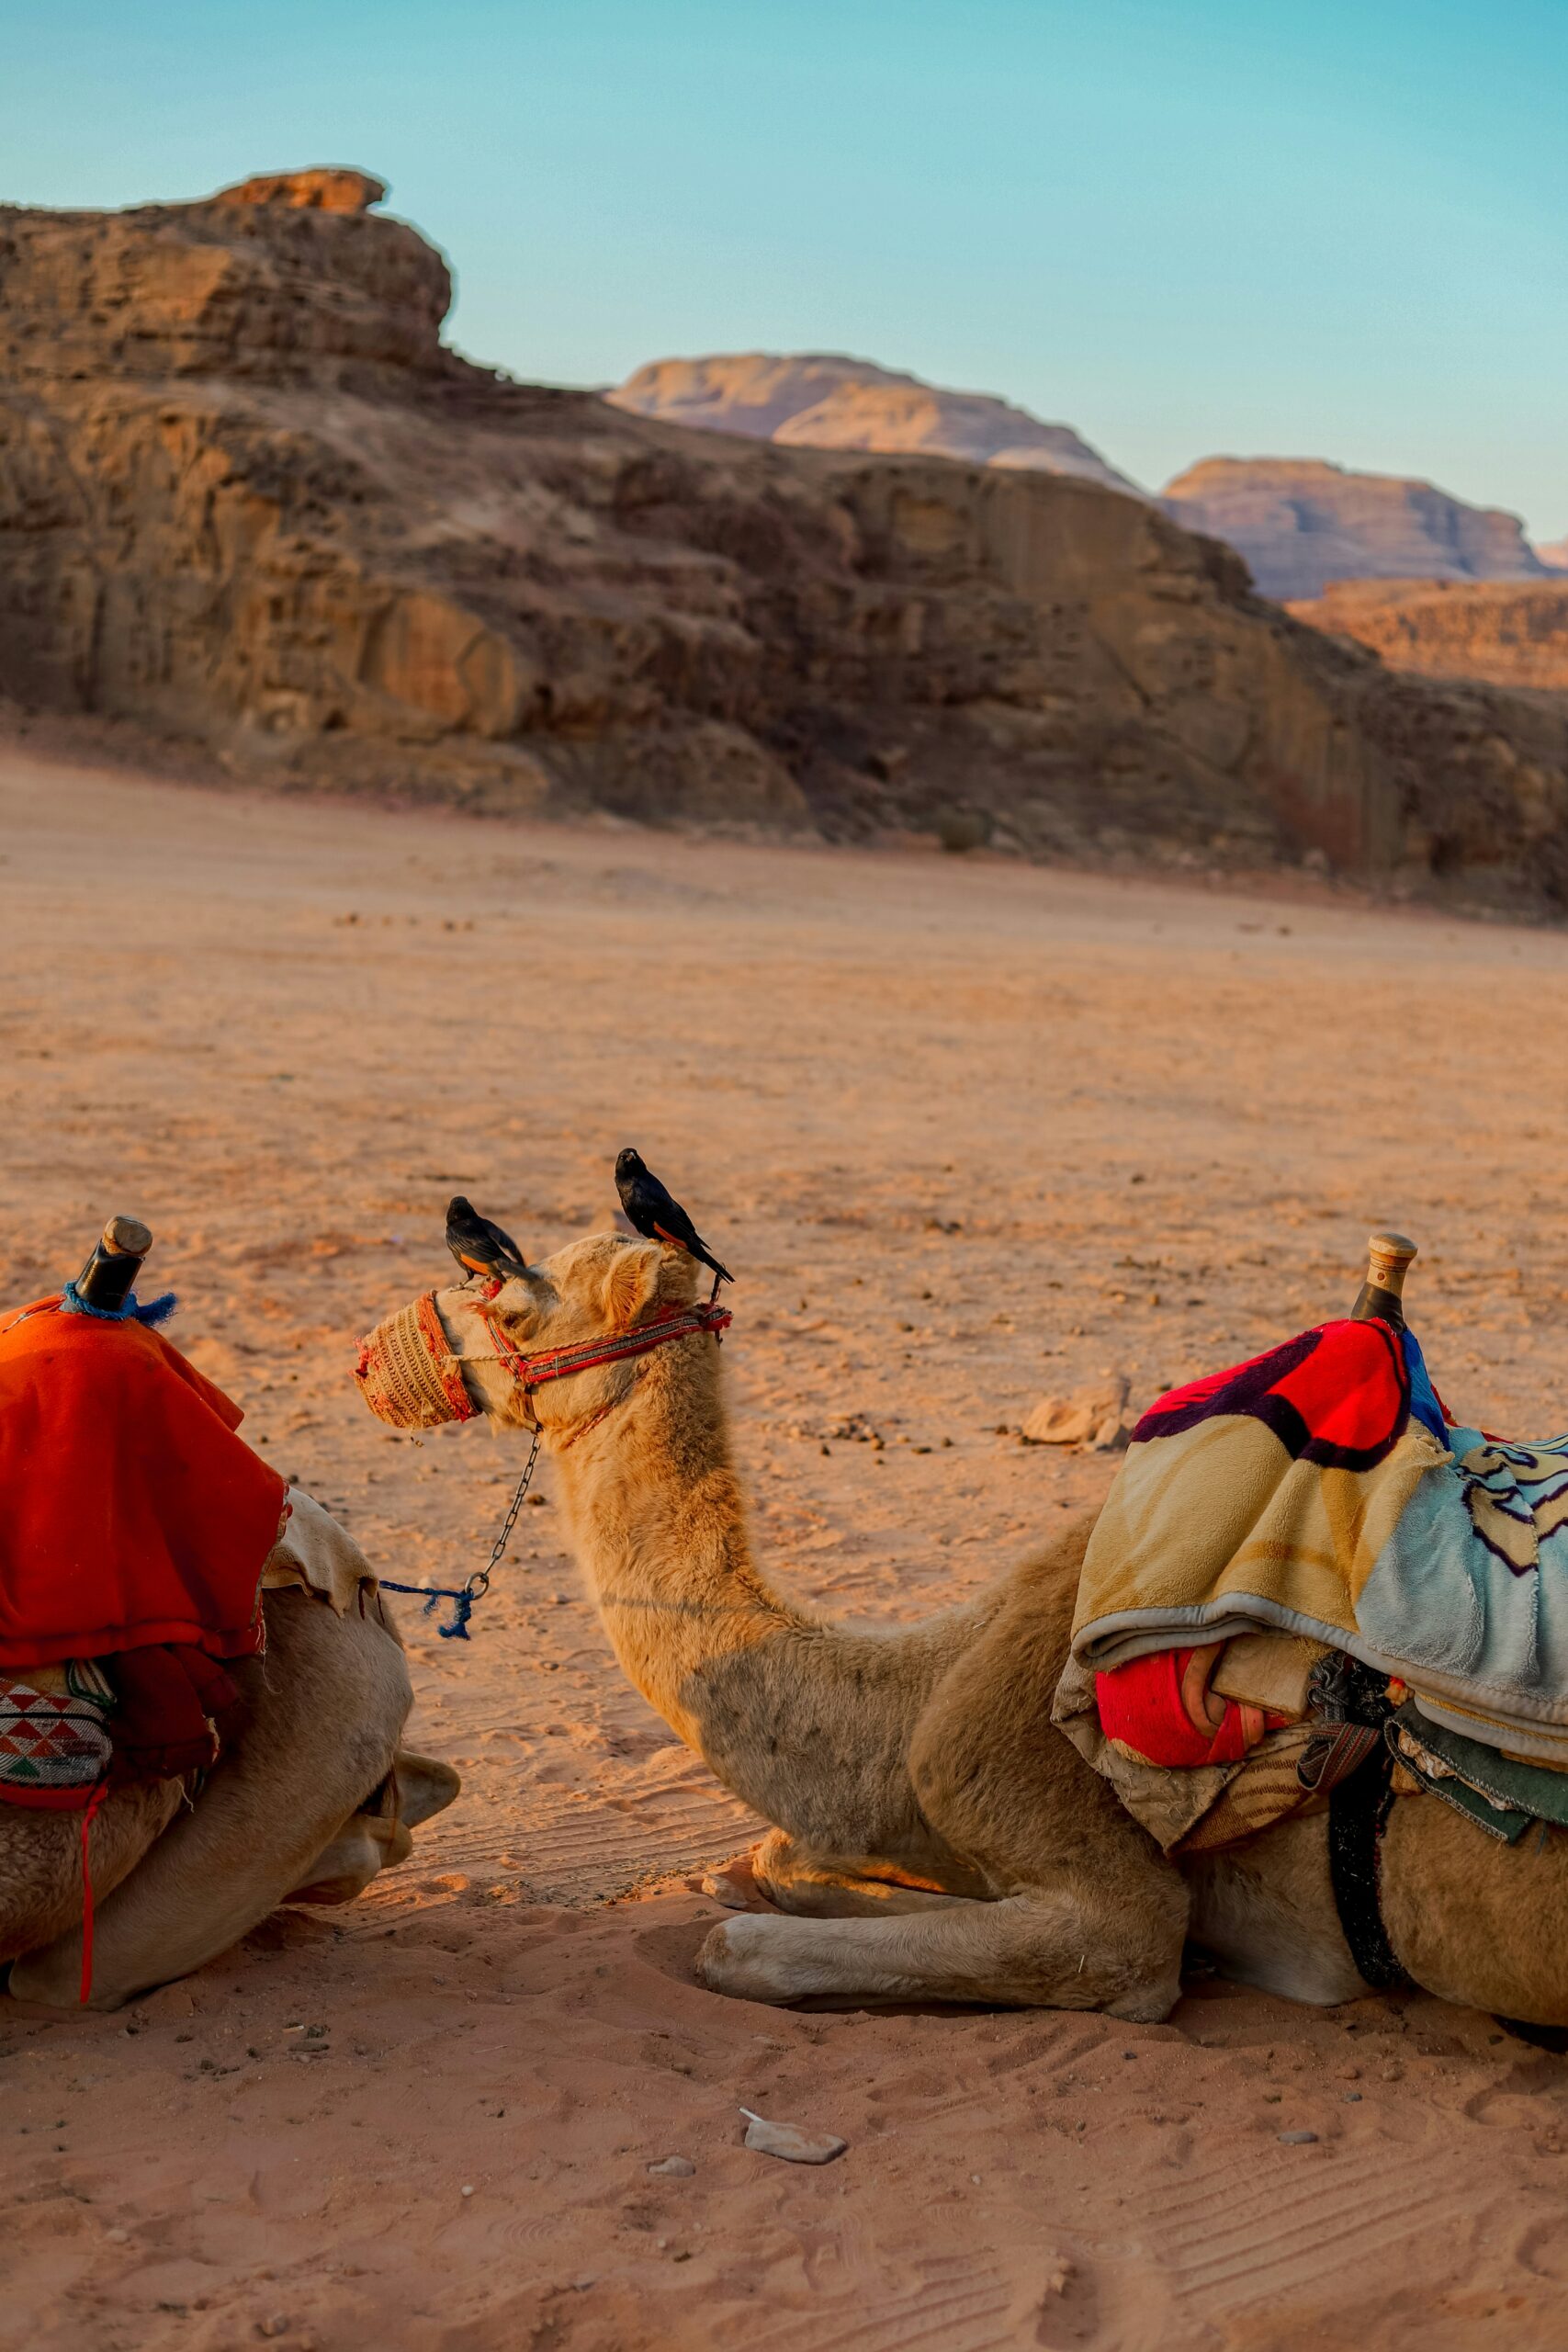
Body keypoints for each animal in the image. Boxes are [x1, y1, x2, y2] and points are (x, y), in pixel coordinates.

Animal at [355, 1223, 1568, 2031]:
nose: (372, 1361)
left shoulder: (1097, 1887)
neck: (911, 1700)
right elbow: (778, 1856)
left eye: (511, 1295)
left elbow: (739, 1941)